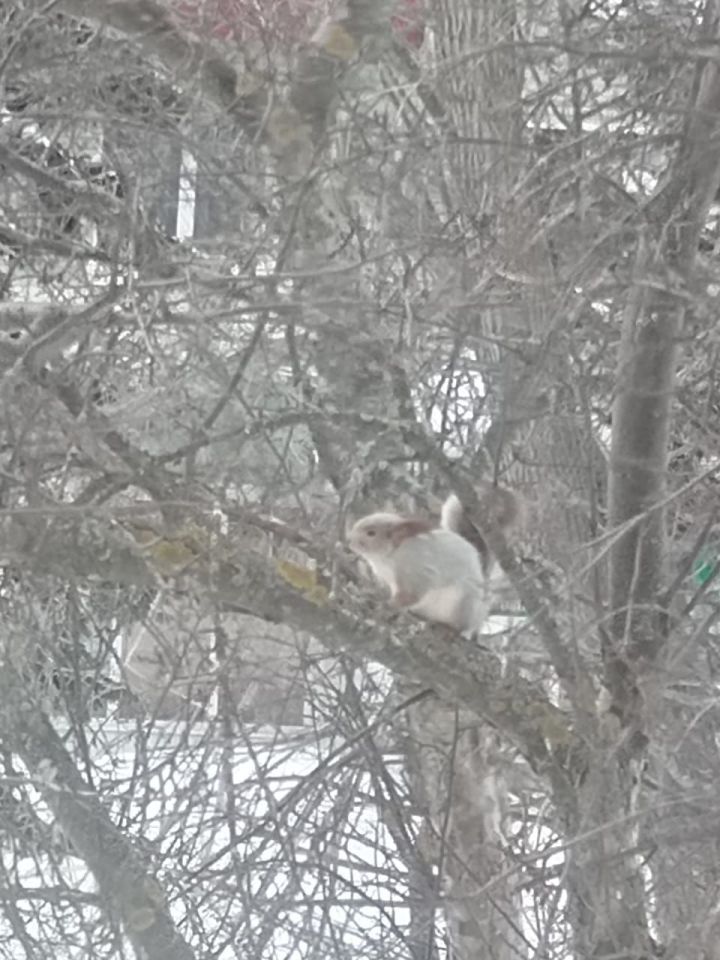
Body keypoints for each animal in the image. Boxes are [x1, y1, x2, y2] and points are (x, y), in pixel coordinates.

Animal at [348, 484, 520, 632]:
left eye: (371, 533)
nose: (349, 540)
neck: (388, 556)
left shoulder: (415, 570)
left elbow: (412, 594)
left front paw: (389, 604)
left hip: (463, 604)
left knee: (462, 626)